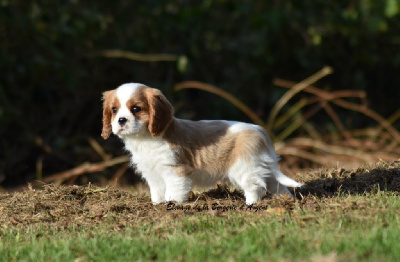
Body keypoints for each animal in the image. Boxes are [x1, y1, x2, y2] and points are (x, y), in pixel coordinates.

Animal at [101, 84, 302, 205]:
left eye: (136, 109)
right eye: (114, 110)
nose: (121, 120)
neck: (145, 139)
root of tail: (260, 131)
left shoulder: (175, 171)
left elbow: (174, 191)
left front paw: (173, 204)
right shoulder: (154, 174)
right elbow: (157, 193)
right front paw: (158, 205)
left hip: (245, 167)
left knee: (255, 187)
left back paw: (250, 204)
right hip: (260, 165)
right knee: (276, 184)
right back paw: (286, 199)